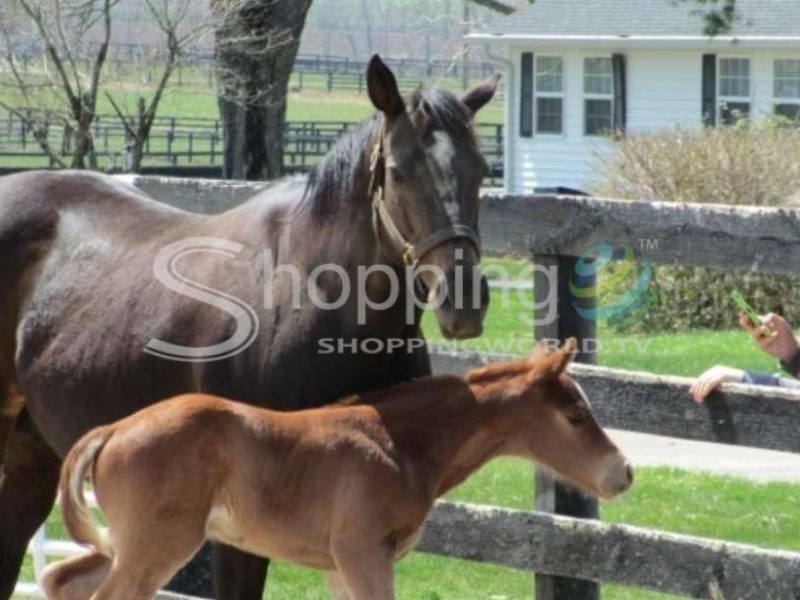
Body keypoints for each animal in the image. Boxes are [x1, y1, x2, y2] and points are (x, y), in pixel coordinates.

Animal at [42, 340, 632, 596]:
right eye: (576, 416)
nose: (623, 472)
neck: (400, 444)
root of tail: (114, 429)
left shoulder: (337, 563)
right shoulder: (363, 552)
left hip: (127, 543)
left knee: (59, 579)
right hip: (159, 545)